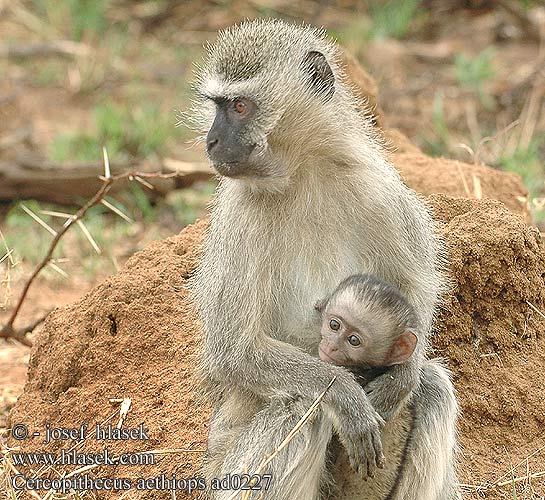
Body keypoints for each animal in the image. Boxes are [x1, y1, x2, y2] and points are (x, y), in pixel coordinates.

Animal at [189, 17, 456, 498]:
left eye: (239, 106)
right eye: (218, 105)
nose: (212, 140)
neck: (302, 172)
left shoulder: (378, 186)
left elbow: (417, 286)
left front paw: (403, 376)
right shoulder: (239, 213)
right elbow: (236, 350)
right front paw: (347, 398)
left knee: (435, 388)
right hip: (223, 472)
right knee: (302, 410)